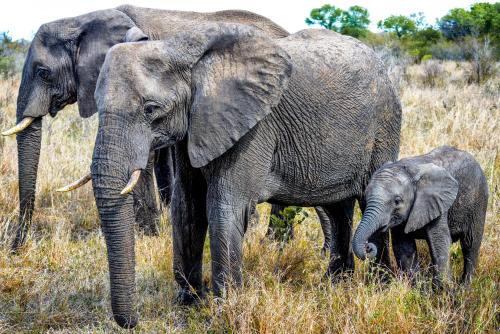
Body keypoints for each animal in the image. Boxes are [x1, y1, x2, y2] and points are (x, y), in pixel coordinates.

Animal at [1, 5, 330, 250]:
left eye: (43, 73)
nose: (16, 246)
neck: (83, 19)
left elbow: (143, 160)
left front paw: (148, 235)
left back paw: (275, 244)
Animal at [90, 24, 402, 328]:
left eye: (150, 109)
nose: (134, 322)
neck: (182, 50)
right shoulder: (195, 126)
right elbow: (187, 206)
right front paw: (188, 304)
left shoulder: (252, 128)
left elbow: (224, 206)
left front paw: (222, 311)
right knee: (337, 209)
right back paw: (335, 284)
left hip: (384, 123)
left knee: (369, 200)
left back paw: (381, 286)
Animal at [352, 146, 488, 288]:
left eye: (397, 201)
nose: (368, 247)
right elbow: (403, 247)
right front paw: (418, 289)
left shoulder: (437, 203)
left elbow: (439, 243)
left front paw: (442, 290)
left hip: (479, 200)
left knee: (470, 244)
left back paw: (465, 288)